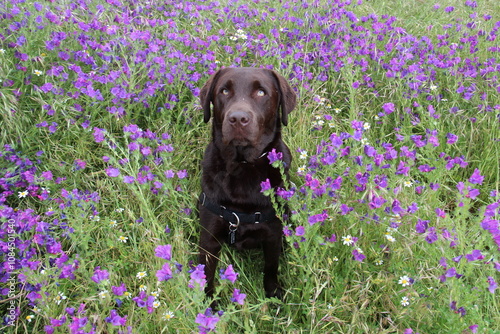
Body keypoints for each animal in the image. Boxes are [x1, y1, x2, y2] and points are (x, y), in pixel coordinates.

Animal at [196, 66, 296, 298]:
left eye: (261, 92)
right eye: (224, 91)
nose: (238, 118)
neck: (243, 166)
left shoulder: (273, 234)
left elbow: (271, 268)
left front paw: (273, 295)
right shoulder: (209, 238)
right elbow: (207, 274)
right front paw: (207, 303)